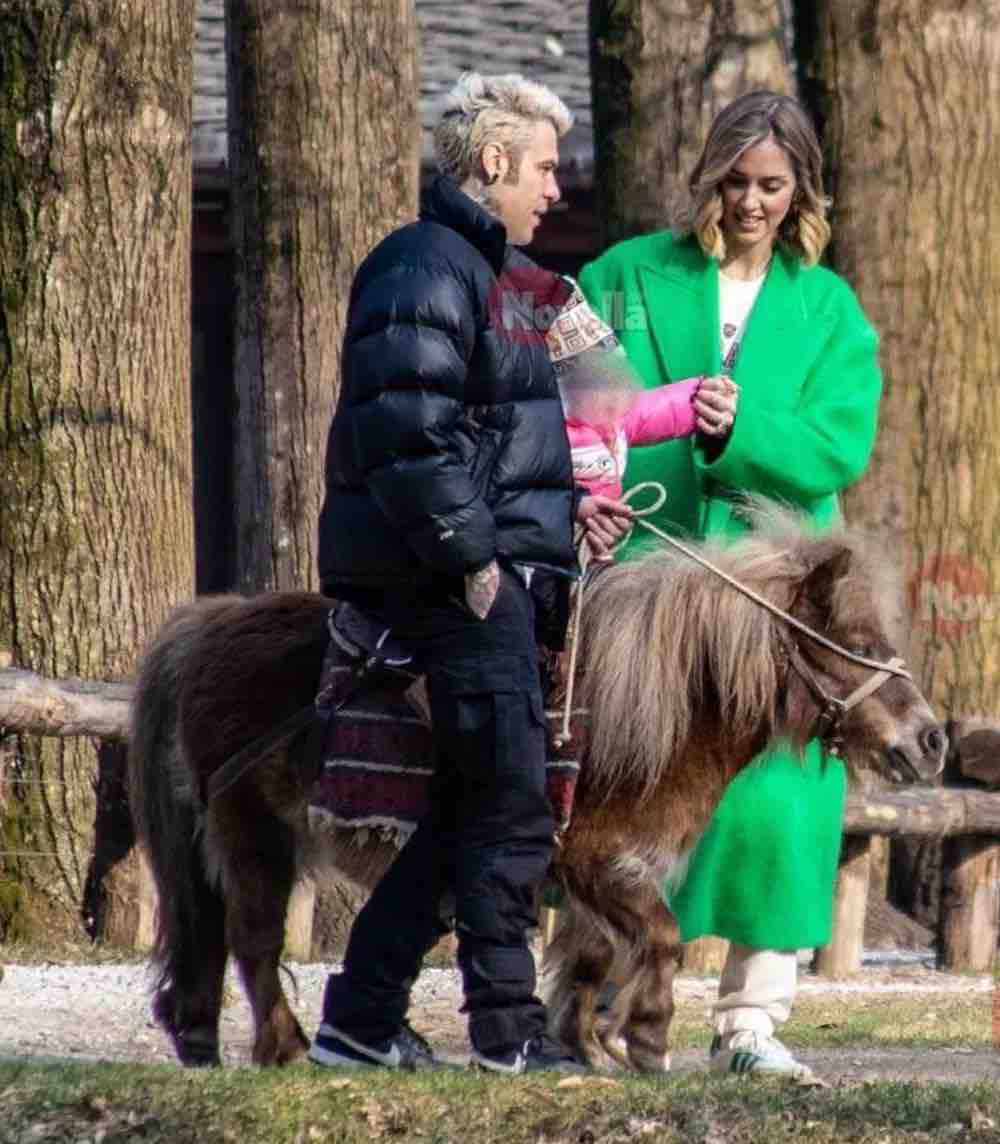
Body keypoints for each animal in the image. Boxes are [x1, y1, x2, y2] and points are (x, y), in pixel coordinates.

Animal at [126, 512, 942, 1070]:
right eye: (859, 649)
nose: (930, 740)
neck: (656, 711)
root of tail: (205, 624)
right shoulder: (597, 861)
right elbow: (662, 936)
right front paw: (645, 1039)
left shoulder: (601, 877)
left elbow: (592, 957)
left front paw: (585, 1046)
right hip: (254, 833)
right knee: (253, 941)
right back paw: (284, 1045)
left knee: (211, 936)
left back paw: (212, 1037)